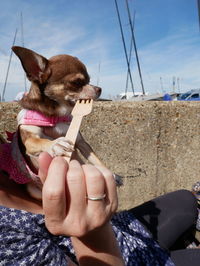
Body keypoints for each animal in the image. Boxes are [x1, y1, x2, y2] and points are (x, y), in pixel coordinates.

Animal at [12, 46, 115, 200]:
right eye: (77, 82)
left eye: (89, 80)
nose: (99, 88)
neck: (56, 116)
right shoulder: (29, 140)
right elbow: (40, 141)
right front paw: (55, 144)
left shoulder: (81, 142)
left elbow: (95, 159)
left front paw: (112, 175)